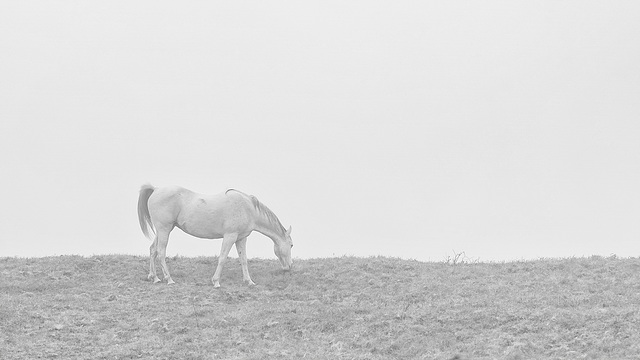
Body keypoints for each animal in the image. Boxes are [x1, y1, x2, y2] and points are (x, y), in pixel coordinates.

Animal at [139, 184, 294, 288]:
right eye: (291, 245)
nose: (289, 267)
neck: (248, 208)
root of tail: (156, 189)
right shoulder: (230, 236)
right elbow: (222, 258)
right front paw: (216, 282)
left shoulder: (241, 238)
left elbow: (243, 259)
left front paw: (249, 281)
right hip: (164, 229)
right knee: (161, 252)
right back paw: (169, 279)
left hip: (163, 230)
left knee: (153, 250)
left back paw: (154, 278)